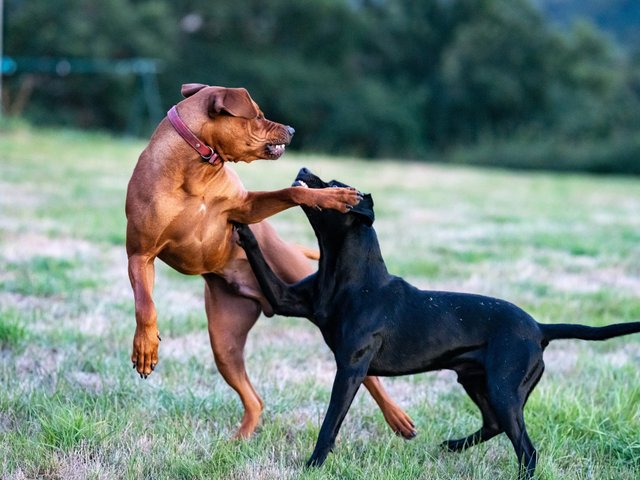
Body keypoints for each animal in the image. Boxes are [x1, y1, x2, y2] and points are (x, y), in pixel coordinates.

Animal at [125, 85, 418, 438]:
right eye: (258, 115)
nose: (291, 129)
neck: (196, 169)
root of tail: (260, 298)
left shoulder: (246, 207)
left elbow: (292, 193)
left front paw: (330, 197)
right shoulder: (139, 255)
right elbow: (145, 304)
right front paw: (145, 347)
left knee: (369, 376)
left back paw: (397, 417)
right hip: (224, 343)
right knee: (254, 399)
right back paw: (240, 439)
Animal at [234, 167, 640, 478]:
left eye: (334, 185)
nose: (303, 169)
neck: (350, 275)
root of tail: (540, 329)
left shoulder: (350, 368)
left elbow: (331, 422)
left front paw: (313, 465)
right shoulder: (286, 301)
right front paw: (241, 225)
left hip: (504, 389)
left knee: (526, 448)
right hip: (477, 382)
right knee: (494, 426)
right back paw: (453, 446)